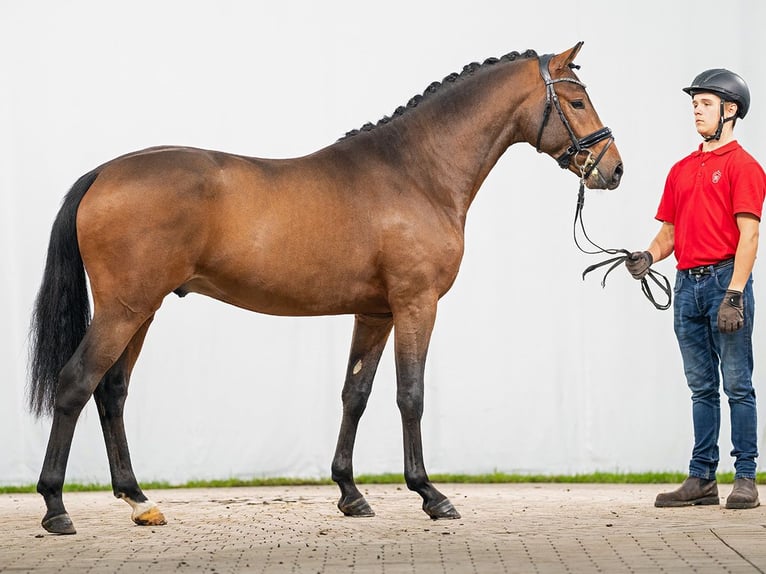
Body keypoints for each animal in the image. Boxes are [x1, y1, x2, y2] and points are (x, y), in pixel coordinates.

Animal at [27, 40, 624, 536]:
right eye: (576, 102)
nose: (613, 170)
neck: (414, 173)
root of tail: (104, 173)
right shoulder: (416, 305)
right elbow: (410, 395)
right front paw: (430, 494)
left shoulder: (375, 313)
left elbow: (354, 395)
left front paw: (351, 494)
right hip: (123, 310)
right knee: (76, 384)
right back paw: (56, 508)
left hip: (141, 311)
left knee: (111, 392)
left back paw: (138, 501)